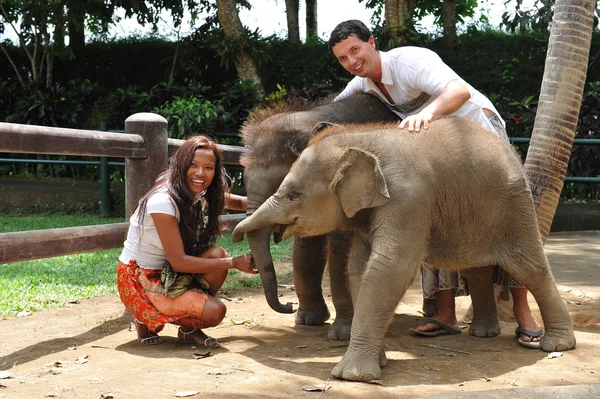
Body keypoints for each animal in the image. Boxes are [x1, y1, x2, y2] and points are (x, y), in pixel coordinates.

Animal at [231, 117, 576, 382]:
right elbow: (360, 268)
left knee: (529, 267)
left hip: (515, 206)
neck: (362, 139)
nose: (233, 237)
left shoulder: (408, 197)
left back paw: (555, 345)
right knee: (475, 267)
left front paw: (352, 376)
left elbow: (391, 267)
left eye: (293, 194)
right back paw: (483, 334)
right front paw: (378, 362)